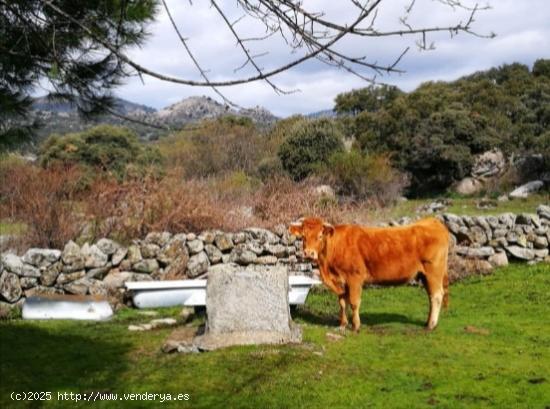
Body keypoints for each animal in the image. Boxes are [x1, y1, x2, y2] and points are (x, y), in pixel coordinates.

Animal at [292, 217, 450, 332]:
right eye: (303, 236)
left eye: (320, 236)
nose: (309, 253)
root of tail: (432, 221)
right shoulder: (341, 281)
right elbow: (342, 302)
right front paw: (343, 324)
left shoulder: (354, 277)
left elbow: (354, 302)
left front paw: (356, 326)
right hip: (425, 276)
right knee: (431, 296)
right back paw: (428, 321)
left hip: (433, 272)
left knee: (436, 296)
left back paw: (431, 325)